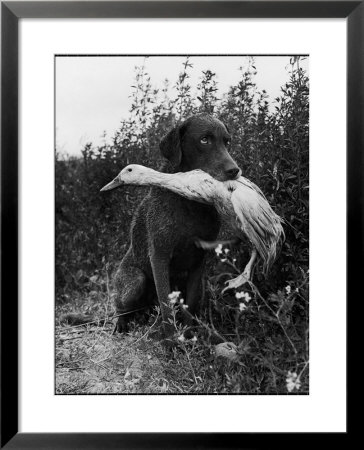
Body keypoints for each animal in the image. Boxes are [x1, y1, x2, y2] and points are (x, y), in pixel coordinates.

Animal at [111, 114, 242, 336]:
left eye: (227, 142)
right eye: (204, 140)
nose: (234, 171)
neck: (190, 204)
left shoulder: (199, 260)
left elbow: (190, 302)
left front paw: (189, 334)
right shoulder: (159, 256)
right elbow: (166, 302)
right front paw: (171, 338)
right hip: (135, 281)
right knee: (122, 307)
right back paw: (122, 324)